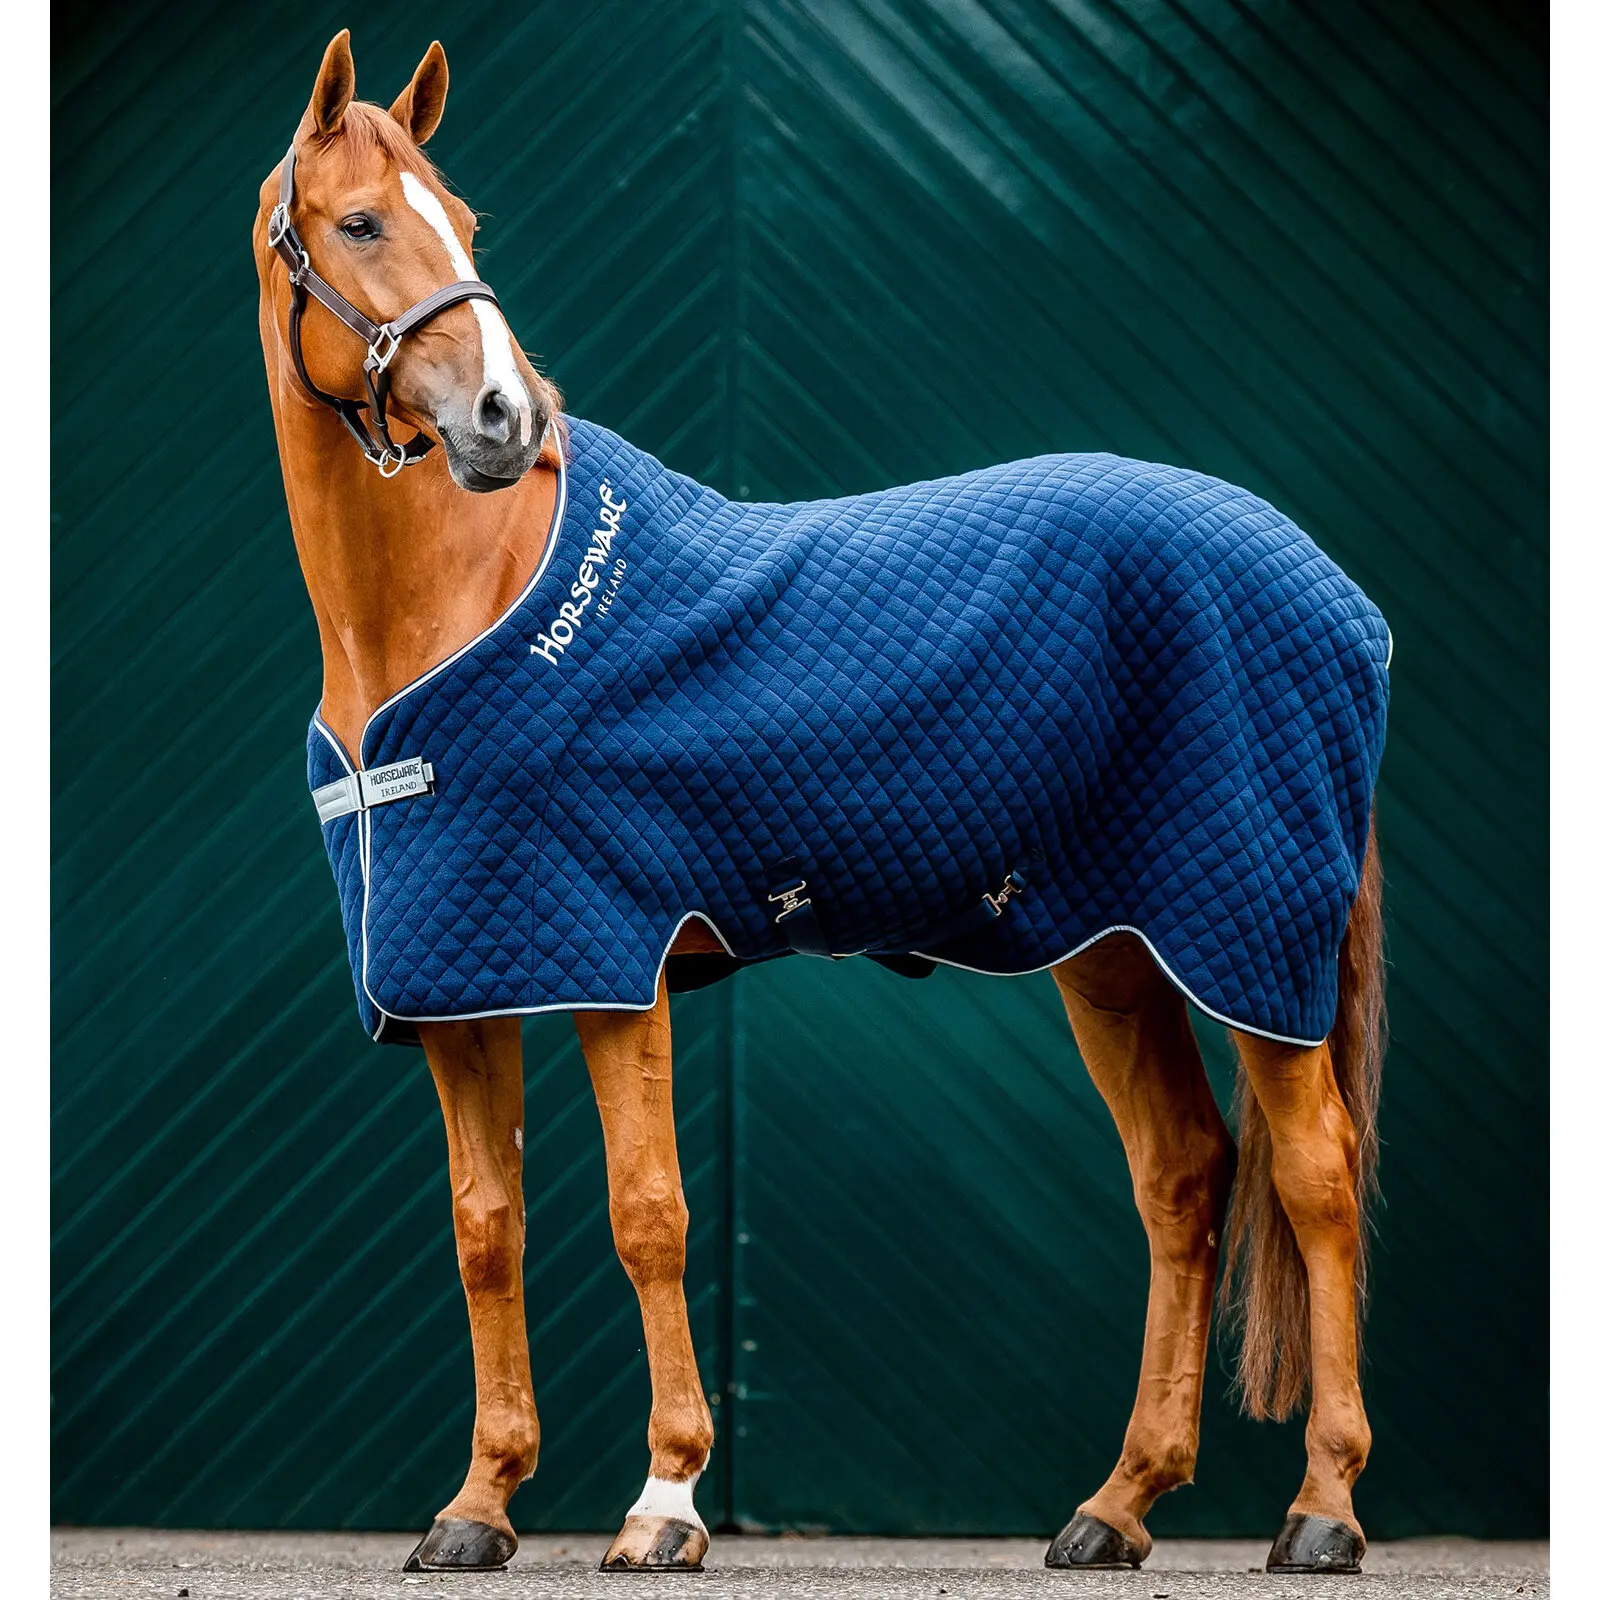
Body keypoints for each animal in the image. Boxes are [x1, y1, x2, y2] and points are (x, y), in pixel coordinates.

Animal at [255, 31, 1388, 1578]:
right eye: (364, 223)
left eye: (466, 222)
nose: (505, 418)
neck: (453, 602)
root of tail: (1334, 591)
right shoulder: (460, 980)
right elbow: (487, 1228)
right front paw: (476, 1508)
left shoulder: (610, 959)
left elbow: (649, 1215)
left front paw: (666, 1503)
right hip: (1114, 951)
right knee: (1184, 1178)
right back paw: (1116, 1506)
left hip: (1251, 939)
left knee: (1319, 1177)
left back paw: (1322, 1510)